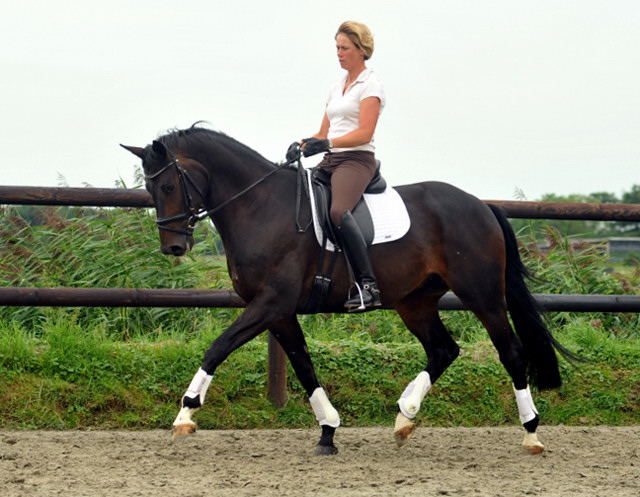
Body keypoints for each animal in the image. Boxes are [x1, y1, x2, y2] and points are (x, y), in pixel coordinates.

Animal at [121, 126, 576, 456]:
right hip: (415, 301)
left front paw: (185, 414)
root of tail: (481, 205)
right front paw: (328, 432)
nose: (173, 248)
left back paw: (531, 433)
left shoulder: (270, 303)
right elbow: (304, 367)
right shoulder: (278, 311)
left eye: (168, 187)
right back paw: (405, 417)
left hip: (481, 293)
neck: (260, 206)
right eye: (149, 189)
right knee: (443, 349)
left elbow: (217, 347)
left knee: (510, 352)